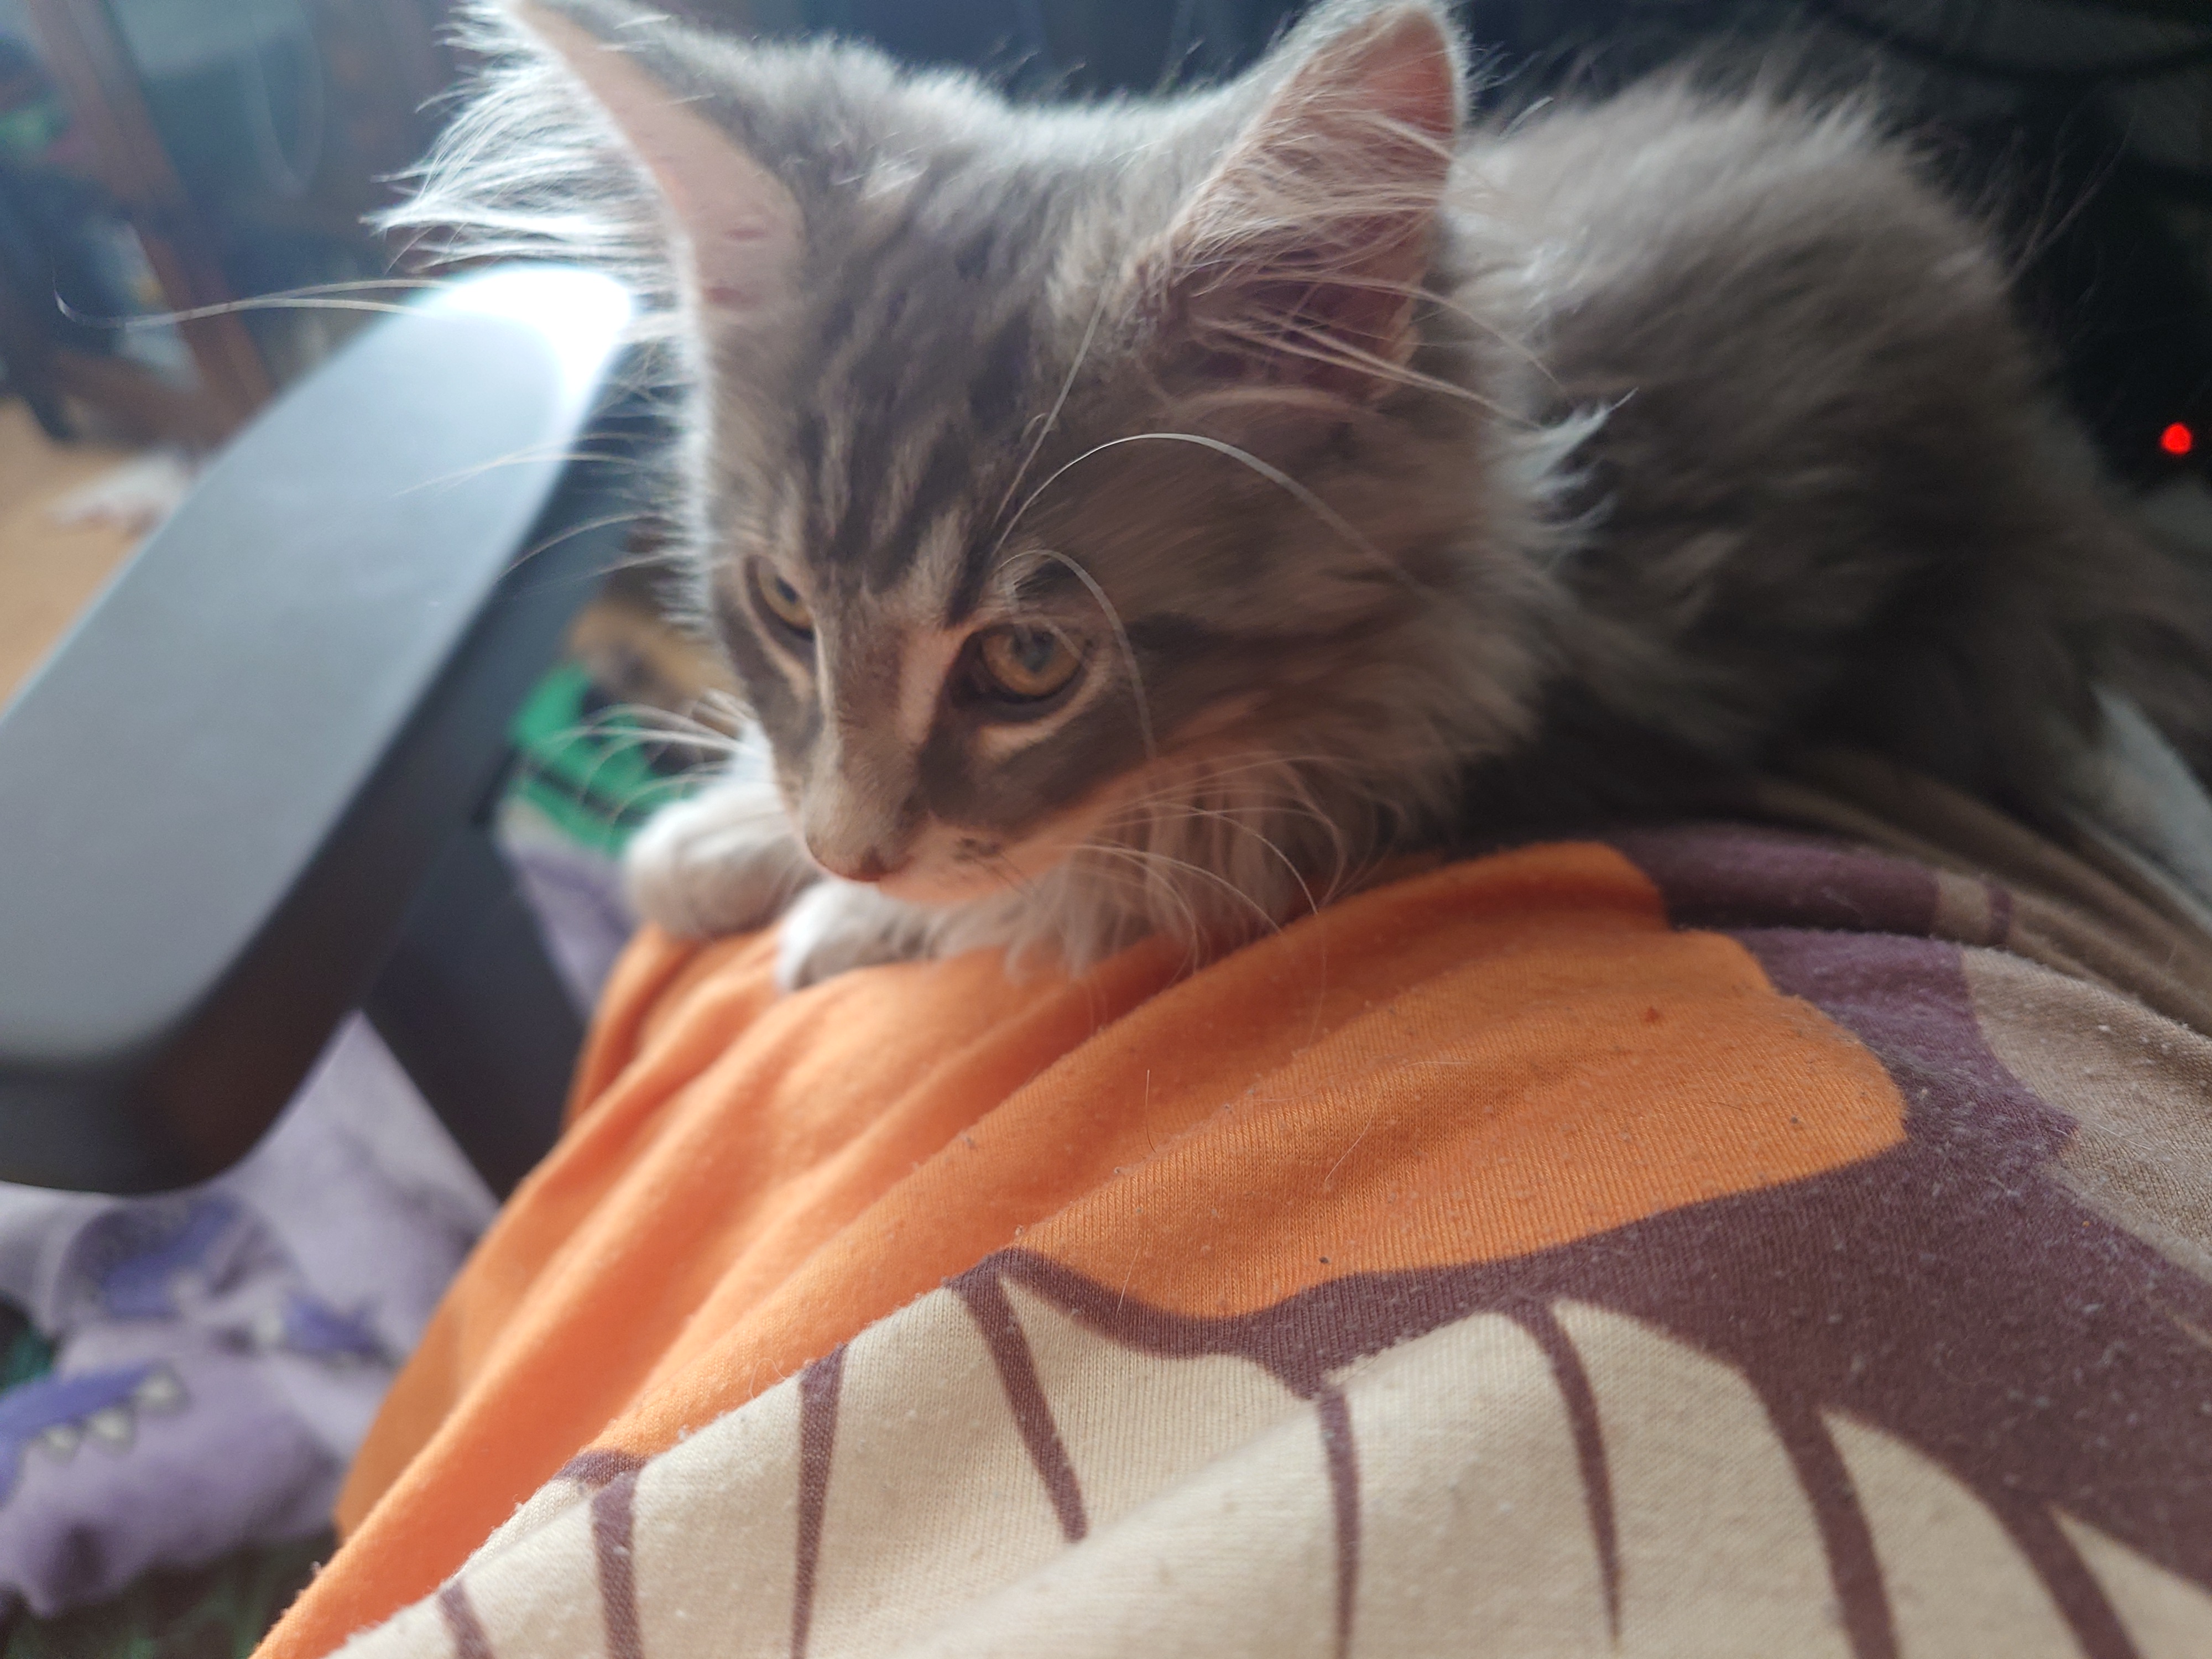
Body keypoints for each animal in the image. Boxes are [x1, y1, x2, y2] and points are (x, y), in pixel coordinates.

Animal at [398, 0, 2212, 988]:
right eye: (781, 605)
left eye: (1027, 664)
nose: (851, 842)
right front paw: (740, 836)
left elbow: (1129, 857)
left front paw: (862, 916)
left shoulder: (1432, 736)